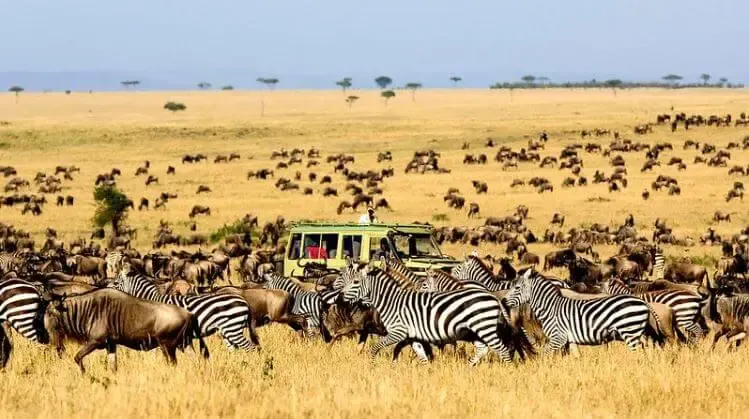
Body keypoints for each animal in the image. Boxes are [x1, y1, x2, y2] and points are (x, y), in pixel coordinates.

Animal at [338, 266, 520, 368]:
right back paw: (468, 369)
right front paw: (427, 374)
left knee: (502, 349)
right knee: (483, 349)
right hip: (475, 330)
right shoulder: (413, 336)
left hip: (484, 327)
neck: (391, 301)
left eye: (355, 282)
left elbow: (375, 348)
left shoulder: (398, 332)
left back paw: (509, 371)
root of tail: (493, 297)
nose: (339, 297)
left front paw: (372, 367)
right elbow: (421, 356)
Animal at [506, 270, 652, 356]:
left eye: (517, 287)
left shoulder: (558, 337)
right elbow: (576, 357)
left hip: (629, 331)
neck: (550, 308)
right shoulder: (569, 339)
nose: (503, 300)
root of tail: (644, 303)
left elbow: (545, 354)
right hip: (636, 332)